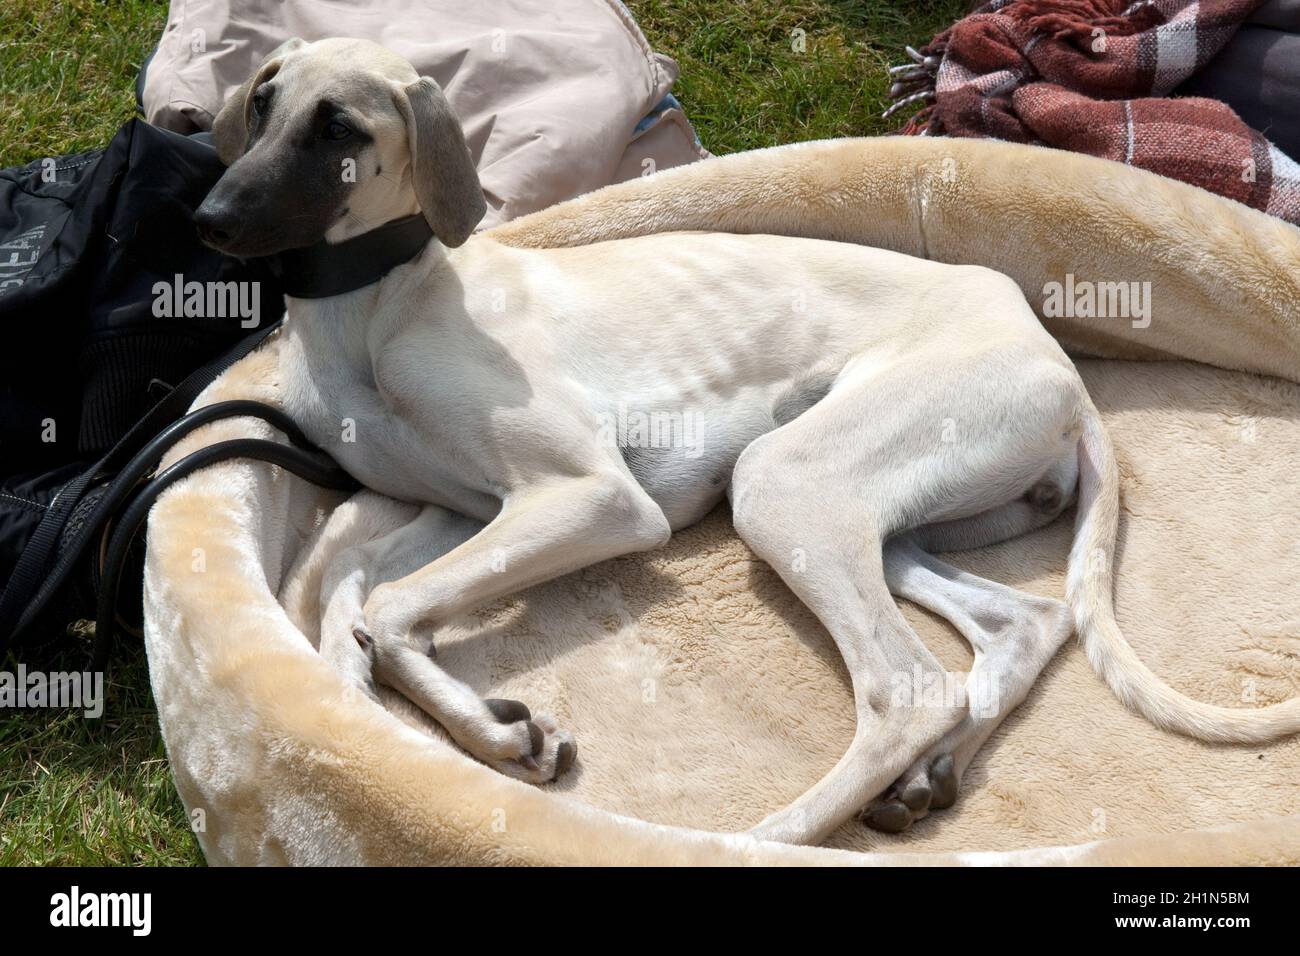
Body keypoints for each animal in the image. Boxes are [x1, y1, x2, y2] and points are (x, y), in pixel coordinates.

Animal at [195, 37, 1300, 842]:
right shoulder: (463, 508)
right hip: (876, 512)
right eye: (261, 103)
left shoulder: (594, 497)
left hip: (786, 482)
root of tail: (1056, 362)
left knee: (909, 689)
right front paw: (497, 733)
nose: (209, 218)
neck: (378, 306)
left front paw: (480, 727)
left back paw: (773, 834)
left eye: (338, 126)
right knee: (1019, 625)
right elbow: (358, 604)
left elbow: (380, 607)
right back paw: (927, 775)